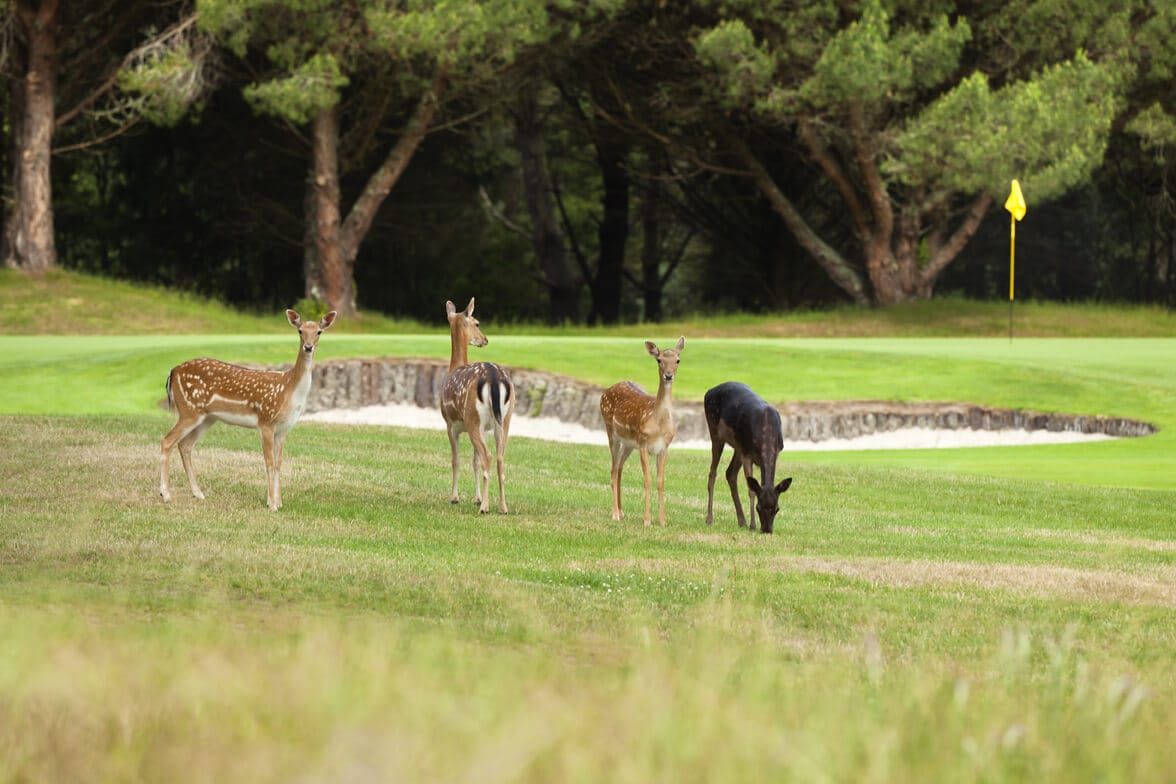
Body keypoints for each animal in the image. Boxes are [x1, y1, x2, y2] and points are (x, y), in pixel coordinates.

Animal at [159, 309, 337, 511]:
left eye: (319, 332)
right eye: (300, 331)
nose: (308, 347)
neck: (288, 391)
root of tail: (173, 371)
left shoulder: (283, 429)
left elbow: (279, 463)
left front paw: (280, 502)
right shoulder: (266, 421)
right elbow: (269, 462)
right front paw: (271, 504)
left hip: (207, 417)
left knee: (185, 445)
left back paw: (198, 493)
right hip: (189, 409)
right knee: (167, 440)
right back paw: (166, 495)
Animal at [439, 298, 515, 514]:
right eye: (478, 323)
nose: (485, 340)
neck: (454, 366)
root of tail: (493, 377)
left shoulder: (450, 423)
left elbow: (455, 460)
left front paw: (455, 497)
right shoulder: (478, 427)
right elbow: (474, 462)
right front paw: (476, 497)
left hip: (474, 418)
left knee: (488, 455)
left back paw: (485, 507)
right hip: (504, 419)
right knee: (499, 457)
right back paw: (503, 507)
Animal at [599, 337, 686, 526]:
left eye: (677, 360)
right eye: (659, 360)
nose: (669, 375)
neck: (658, 424)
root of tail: (604, 392)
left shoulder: (664, 447)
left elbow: (660, 481)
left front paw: (663, 521)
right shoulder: (644, 443)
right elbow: (647, 480)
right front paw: (647, 520)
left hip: (629, 444)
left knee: (620, 468)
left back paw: (622, 511)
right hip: (611, 431)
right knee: (613, 470)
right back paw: (615, 514)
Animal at [703, 381, 793, 534]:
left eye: (777, 509)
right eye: (758, 507)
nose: (767, 530)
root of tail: (709, 391)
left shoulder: (777, 451)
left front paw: (750, 524)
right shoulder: (747, 454)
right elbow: (751, 490)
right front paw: (753, 526)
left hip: (738, 447)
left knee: (730, 473)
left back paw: (741, 521)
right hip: (715, 431)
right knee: (713, 473)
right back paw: (709, 519)